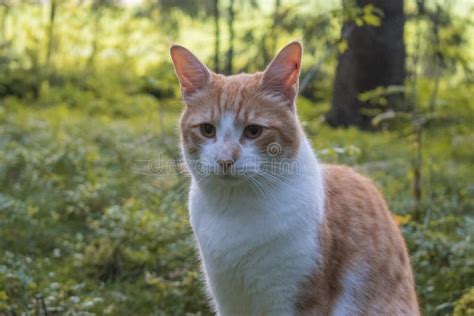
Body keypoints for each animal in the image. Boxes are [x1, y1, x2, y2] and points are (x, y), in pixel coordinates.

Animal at [169, 42, 418, 316]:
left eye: (254, 131)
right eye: (207, 130)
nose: (225, 160)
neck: (234, 210)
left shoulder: (294, 298)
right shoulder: (228, 299)